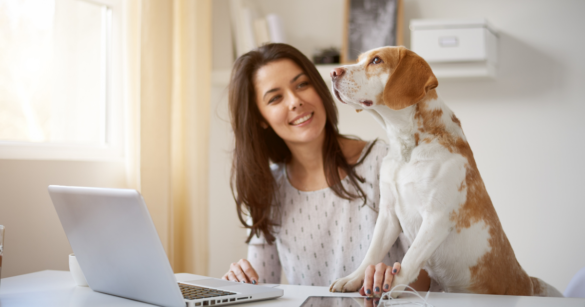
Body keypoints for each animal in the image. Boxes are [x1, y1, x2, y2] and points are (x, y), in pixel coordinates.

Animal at [328, 46, 560, 298]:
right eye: (360, 59)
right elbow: (372, 254)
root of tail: (528, 282)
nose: (332, 72)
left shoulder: (436, 218)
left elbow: (409, 259)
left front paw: (391, 287)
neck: (407, 147)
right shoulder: (388, 213)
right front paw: (352, 279)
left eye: (377, 60)